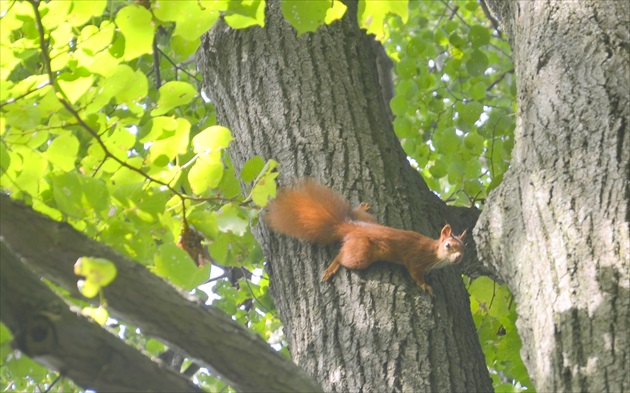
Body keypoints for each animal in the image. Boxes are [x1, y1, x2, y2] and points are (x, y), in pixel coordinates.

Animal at [266, 178, 470, 294]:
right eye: (448, 246)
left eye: (464, 250)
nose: (458, 258)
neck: (433, 251)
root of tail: (351, 227)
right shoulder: (415, 259)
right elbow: (415, 273)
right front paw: (425, 286)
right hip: (360, 254)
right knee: (342, 256)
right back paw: (332, 267)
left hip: (369, 221)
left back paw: (361, 208)